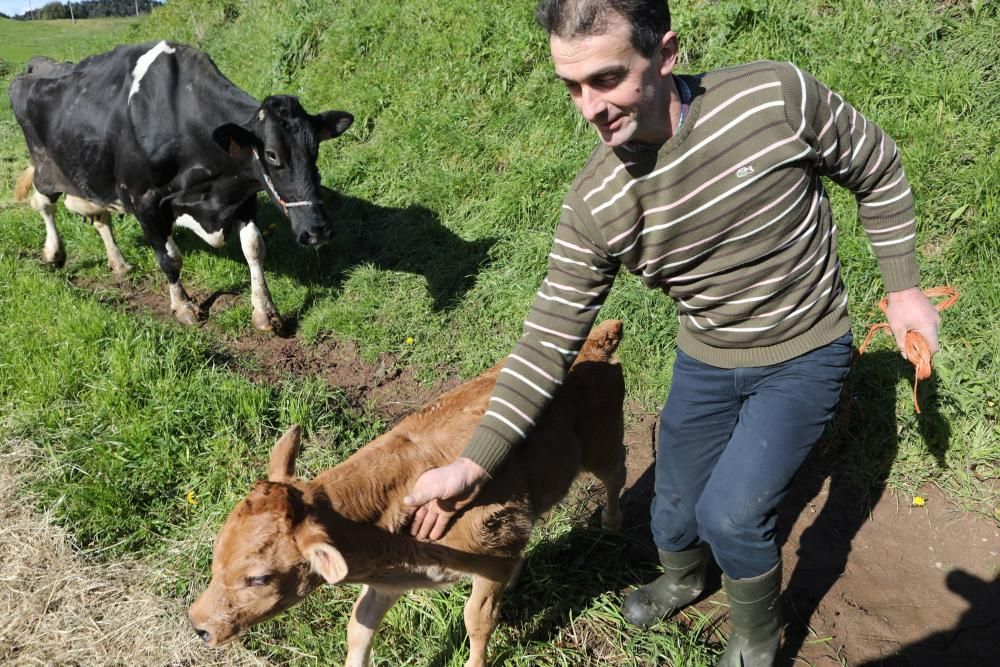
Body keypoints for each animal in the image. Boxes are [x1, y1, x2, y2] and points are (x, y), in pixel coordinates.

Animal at [9, 41, 354, 332]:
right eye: (271, 154)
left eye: (315, 148)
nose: (318, 230)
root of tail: (36, 66)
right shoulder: (144, 202)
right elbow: (169, 259)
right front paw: (184, 306)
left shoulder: (243, 196)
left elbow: (254, 247)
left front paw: (265, 312)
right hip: (45, 168)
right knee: (45, 205)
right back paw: (54, 253)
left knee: (99, 217)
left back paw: (119, 264)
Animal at [188, 320, 624, 664]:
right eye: (216, 553)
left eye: (259, 578)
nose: (198, 626)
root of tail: (595, 342)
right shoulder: (391, 581)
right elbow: (359, 625)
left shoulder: (490, 556)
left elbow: (477, 619)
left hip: (601, 441)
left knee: (617, 472)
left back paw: (612, 524)